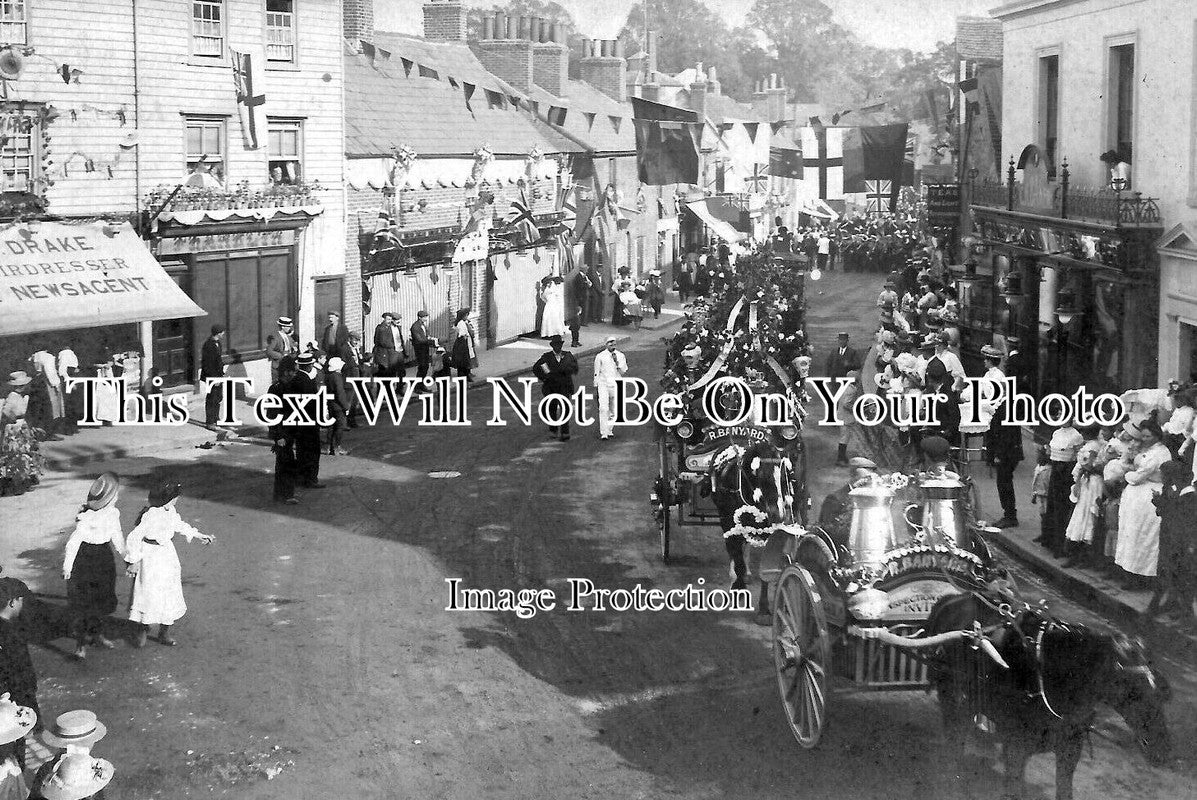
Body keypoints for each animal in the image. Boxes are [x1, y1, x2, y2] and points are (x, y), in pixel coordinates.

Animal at [703, 438, 799, 613]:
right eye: (760, 477)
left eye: (784, 478)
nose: (778, 514)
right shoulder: (730, 524)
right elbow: (736, 556)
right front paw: (738, 587)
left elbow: (766, 566)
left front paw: (764, 605)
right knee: (734, 549)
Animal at [924, 594, 1168, 800]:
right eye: (1134, 691)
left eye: (1164, 694)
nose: (1162, 749)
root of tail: (951, 599)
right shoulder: (1017, 746)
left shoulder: (1069, 750)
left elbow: (1064, 790)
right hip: (953, 697)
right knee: (955, 736)